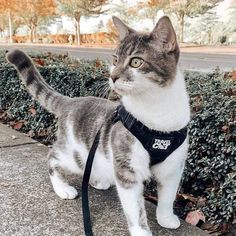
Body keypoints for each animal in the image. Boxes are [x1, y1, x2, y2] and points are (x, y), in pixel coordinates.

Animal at [6, 16, 191, 236]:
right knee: (52, 157)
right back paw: (63, 188)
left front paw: (166, 217)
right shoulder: (127, 169)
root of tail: (72, 101)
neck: (156, 116)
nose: (113, 76)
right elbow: (136, 209)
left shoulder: (174, 165)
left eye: (136, 62)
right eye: (115, 60)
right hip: (74, 155)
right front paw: (142, 231)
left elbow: (168, 195)